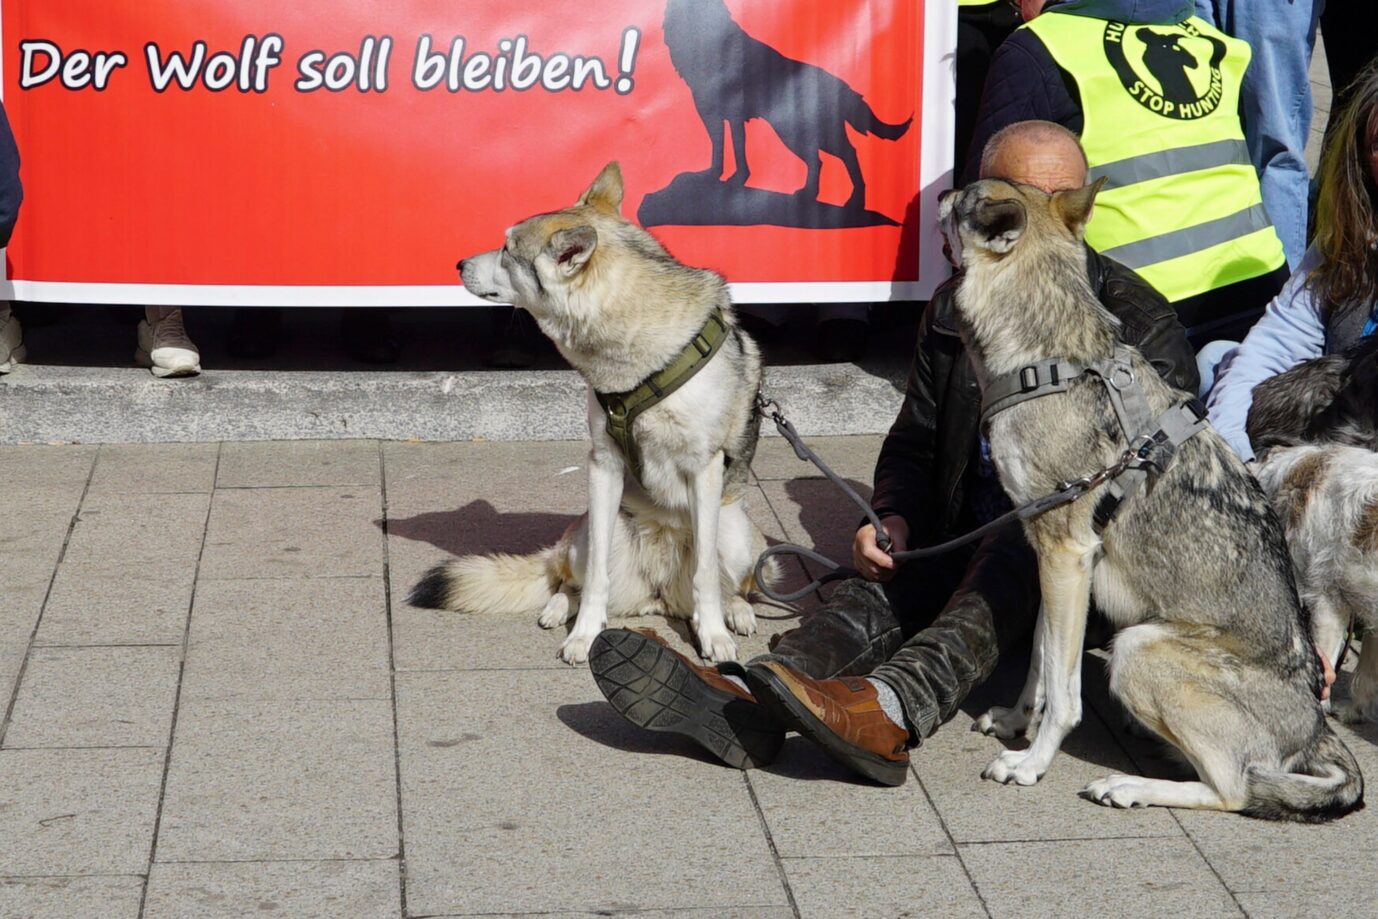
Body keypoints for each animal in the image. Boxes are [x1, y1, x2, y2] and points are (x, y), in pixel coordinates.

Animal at [412, 162, 778, 665]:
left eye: (507, 250)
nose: (458, 264)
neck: (641, 362)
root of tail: (657, 597)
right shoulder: (603, 465)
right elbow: (596, 582)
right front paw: (585, 634)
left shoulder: (703, 469)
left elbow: (706, 575)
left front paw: (714, 636)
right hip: (584, 536)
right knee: (567, 581)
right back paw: (557, 610)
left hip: (737, 534)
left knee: (731, 587)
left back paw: (734, 614)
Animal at [662, 0, 911, 208]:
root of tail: (843, 86)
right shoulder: (715, 113)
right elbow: (724, 145)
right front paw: (723, 177)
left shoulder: (725, 113)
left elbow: (731, 146)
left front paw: (731, 178)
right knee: (820, 159)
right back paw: (812, 194)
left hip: (797, 133)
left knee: (844, 153)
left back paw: (853, 198)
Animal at [939, 177, 1363, 820]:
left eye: (963, 195)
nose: (939, 192)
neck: (1048, 360)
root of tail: (1316, 728)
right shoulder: (1055, 559)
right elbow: (1041, 659)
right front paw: (1016, 722)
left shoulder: (1066, 554)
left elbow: (1064, 694)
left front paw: (1032, 763)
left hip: (1135, 647)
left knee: (1235, 790)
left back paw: (1127, 786)